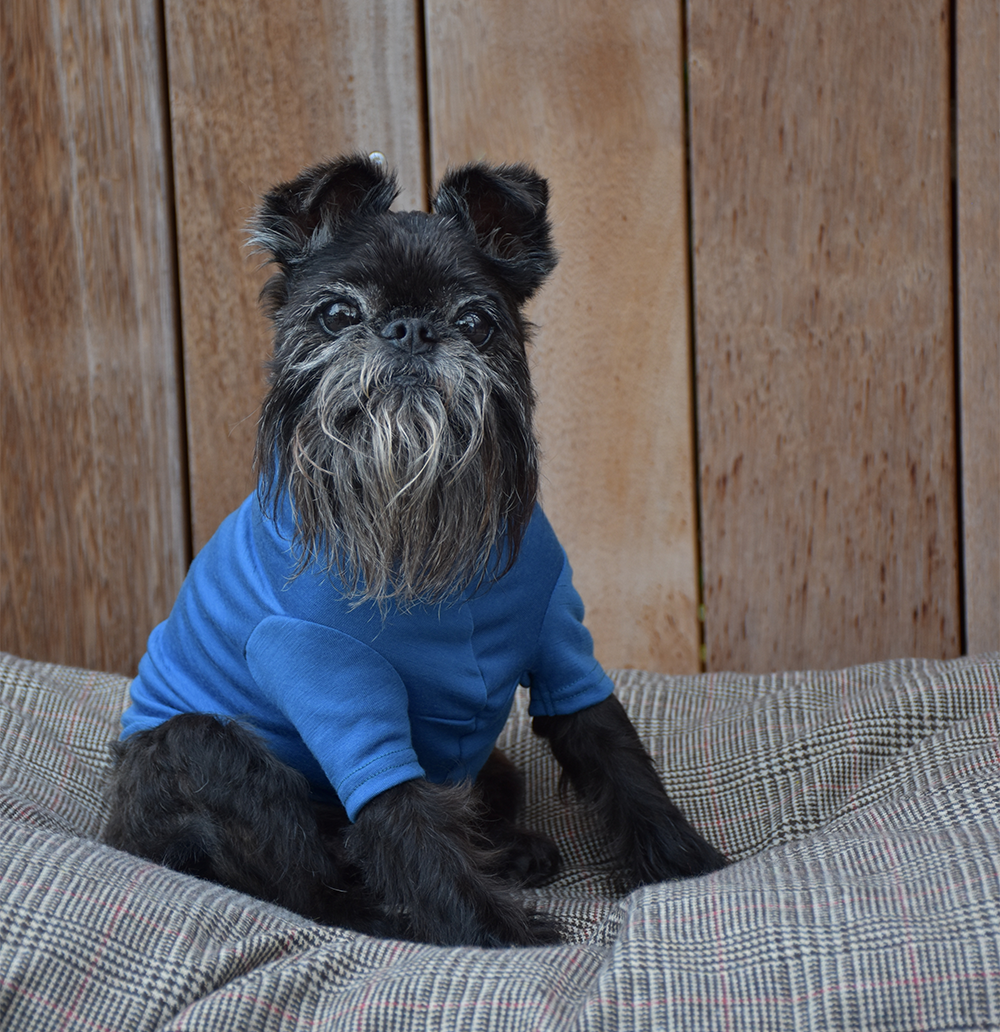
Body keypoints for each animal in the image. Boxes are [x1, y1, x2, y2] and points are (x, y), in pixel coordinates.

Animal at [103, 149, 726, 945]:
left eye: (476, 321)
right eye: (337, 314)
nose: (409, 330)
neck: (422, 512)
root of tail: (116, 828)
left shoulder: (561, 641)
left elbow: (616, 752)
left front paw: (688, 868)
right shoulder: (334, 682)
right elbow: (400, 816)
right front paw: (497, 937)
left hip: (490, 769)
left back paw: (512, 851)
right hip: (203, 749)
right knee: (306, 887)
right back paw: (390, 915)